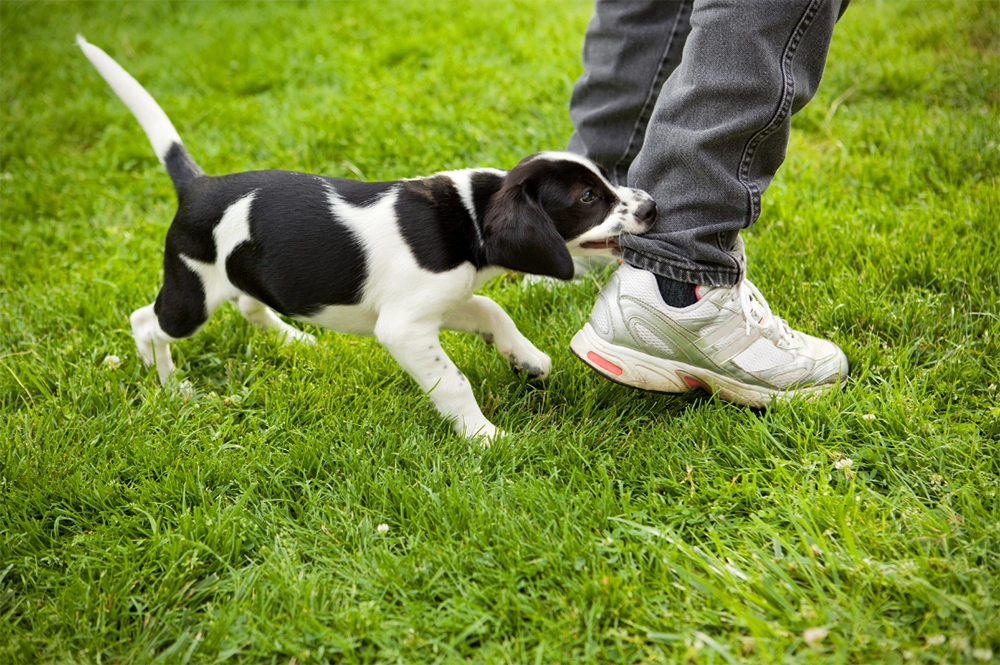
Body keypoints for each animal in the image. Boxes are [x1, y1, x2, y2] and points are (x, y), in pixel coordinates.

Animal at [78, 36, 656, 440]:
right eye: (589, 198)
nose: (652, 206)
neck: (469, 215)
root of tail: (198, 186)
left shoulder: (441, 302)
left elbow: (493, 310)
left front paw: (527, 359)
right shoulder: (404, 328)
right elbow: (454, 382)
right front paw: (485, 437)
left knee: (248, 303)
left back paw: (294, 339)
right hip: (191, 295)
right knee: (147, 322)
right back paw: (171, 385)